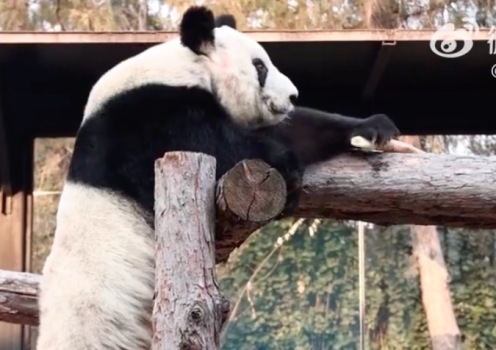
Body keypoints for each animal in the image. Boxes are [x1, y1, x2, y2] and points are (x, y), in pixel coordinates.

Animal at [35, 5, 400, 350]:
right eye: (260, 66)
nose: (293, 96)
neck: (185, 67)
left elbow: (292, 130)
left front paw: (372, 126)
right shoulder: (147, 121)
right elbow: (221, 147)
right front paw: (288, 168)